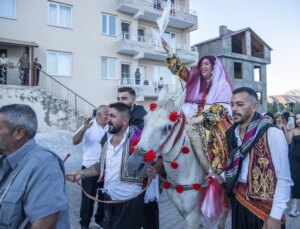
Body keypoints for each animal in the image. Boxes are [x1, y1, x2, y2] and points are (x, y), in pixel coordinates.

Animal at [125, 90, 221, 229]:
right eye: (144, 121)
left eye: (168, 128)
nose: (133, 164)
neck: (184, 173)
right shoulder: (183, 212)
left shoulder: (193, 215)